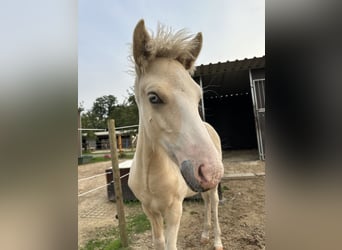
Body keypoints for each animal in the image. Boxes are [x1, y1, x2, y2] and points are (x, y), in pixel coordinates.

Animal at [128, 20, 224, 250]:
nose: (210, 171)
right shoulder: (149, 211)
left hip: (211, 188)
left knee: (214, 203)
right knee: (206, 202)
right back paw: (204, 235)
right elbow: (159, 242)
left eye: (198, 97)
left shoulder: (174, 211)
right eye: (153, 97)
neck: (151, 175)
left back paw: (217, 240)